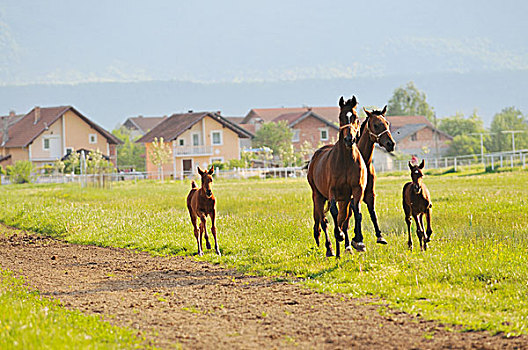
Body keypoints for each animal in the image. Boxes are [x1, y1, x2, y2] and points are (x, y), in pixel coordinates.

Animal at [306, 95, 368, 258]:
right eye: (341, 117)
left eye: (355, 117)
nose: (349, 139)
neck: (346, 161)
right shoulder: (332, 191)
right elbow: (333, 213)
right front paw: (338, 235)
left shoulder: (356, 190)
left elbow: (356, 212)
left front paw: (358, 242)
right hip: (318, 195)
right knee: (323, 221)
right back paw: (330, 248)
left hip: (344, 199)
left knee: (344, 219)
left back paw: (346, 247)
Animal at [354, 105, 396, 245]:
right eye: (376, 125)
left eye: (387, 123)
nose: (391, 144)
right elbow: (357, 214)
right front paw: (357, 238)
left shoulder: (370, 194)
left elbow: (373, 213)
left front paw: (380, 236)